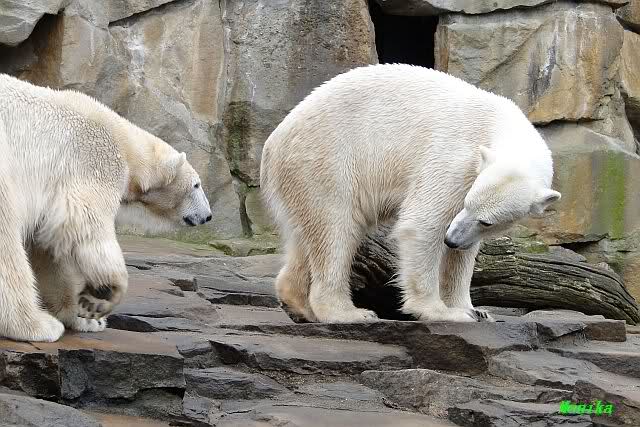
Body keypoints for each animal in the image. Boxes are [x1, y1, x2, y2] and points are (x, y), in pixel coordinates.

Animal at [0, 73, 212, 342]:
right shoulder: (92, 160)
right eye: (197, 185)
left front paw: (85, 317)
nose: (208, 215)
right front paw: (106, 293)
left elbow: (48, 247)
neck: (125, 143)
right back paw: (36, 325)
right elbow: (83, 222)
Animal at [260, 63, 561, 324]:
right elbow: (423, 223)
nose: (451, 240)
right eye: (467, 204)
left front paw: (475, 310)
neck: (498, 124)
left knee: (305, 236)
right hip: (326, 162)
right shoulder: (453, 157)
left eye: (486, 221)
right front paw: (442, 311)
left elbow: (464, 254)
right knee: (336, 231)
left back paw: (299, 306)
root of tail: (274, 142)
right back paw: (349, 313)